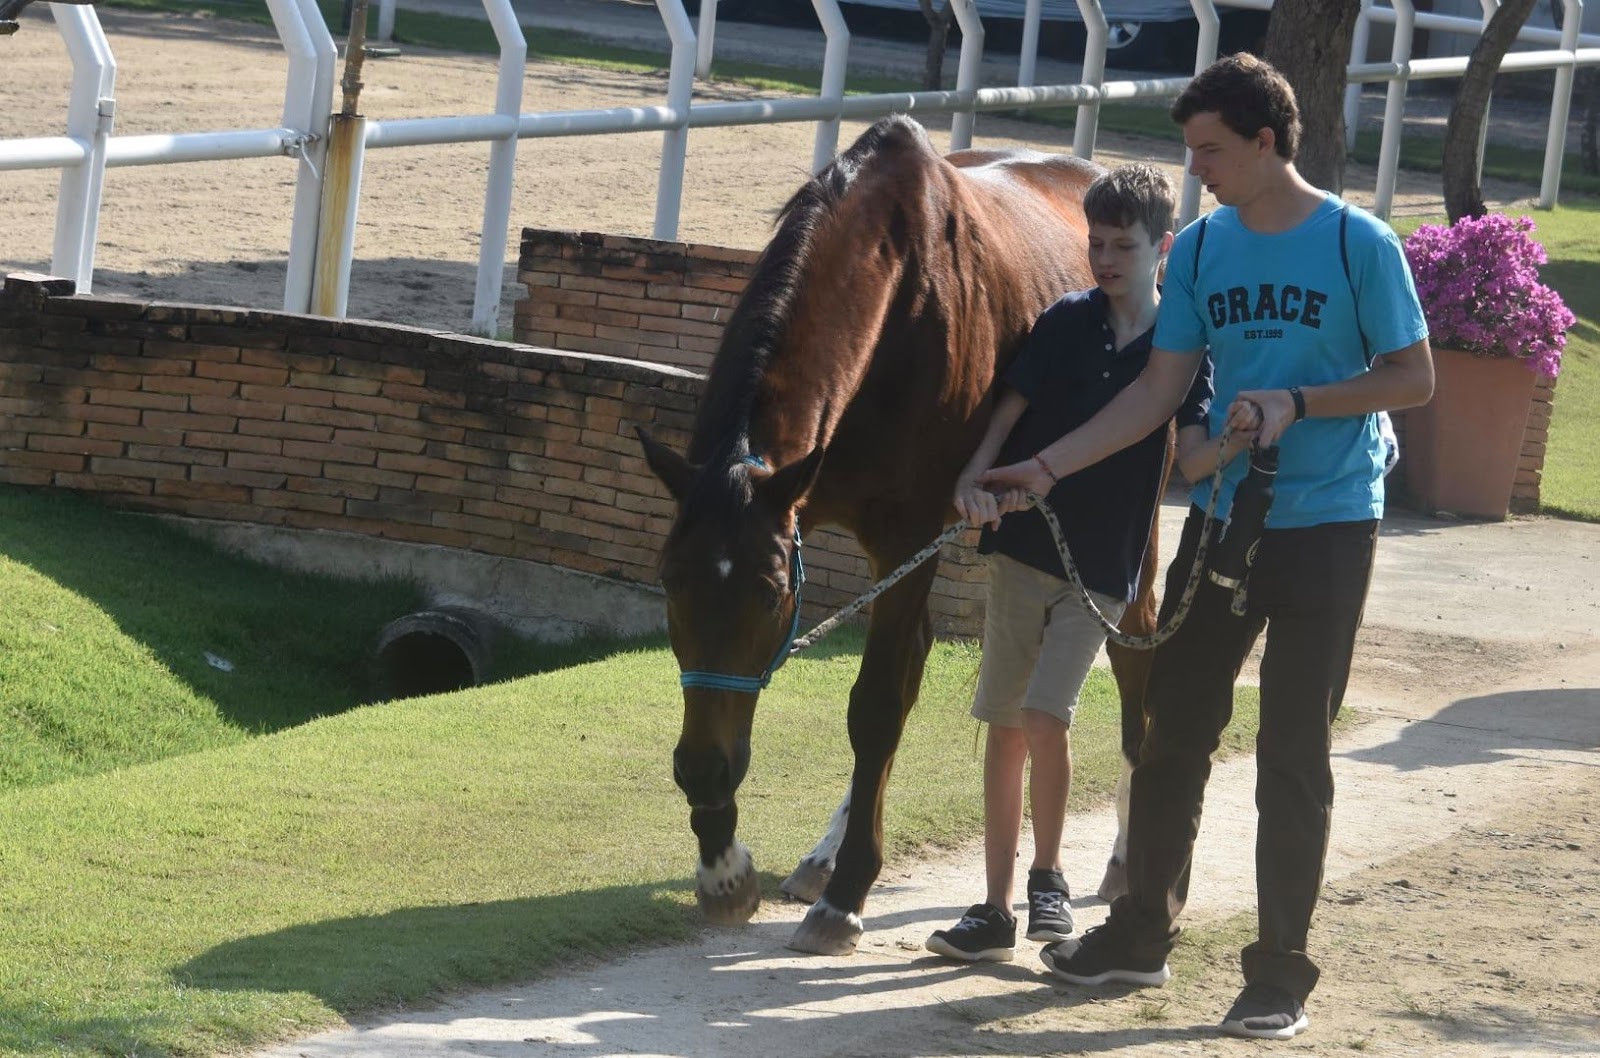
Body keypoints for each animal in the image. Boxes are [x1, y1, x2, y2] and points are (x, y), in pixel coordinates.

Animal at [636, 117, 1164, 960]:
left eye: (769, 595)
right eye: (669, 582)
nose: (705, 773)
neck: (897, 301)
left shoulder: (909, 535)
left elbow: (876, 705)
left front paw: (847, 893)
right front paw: (725, 867)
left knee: (1133, 648)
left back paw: (1120, 857)